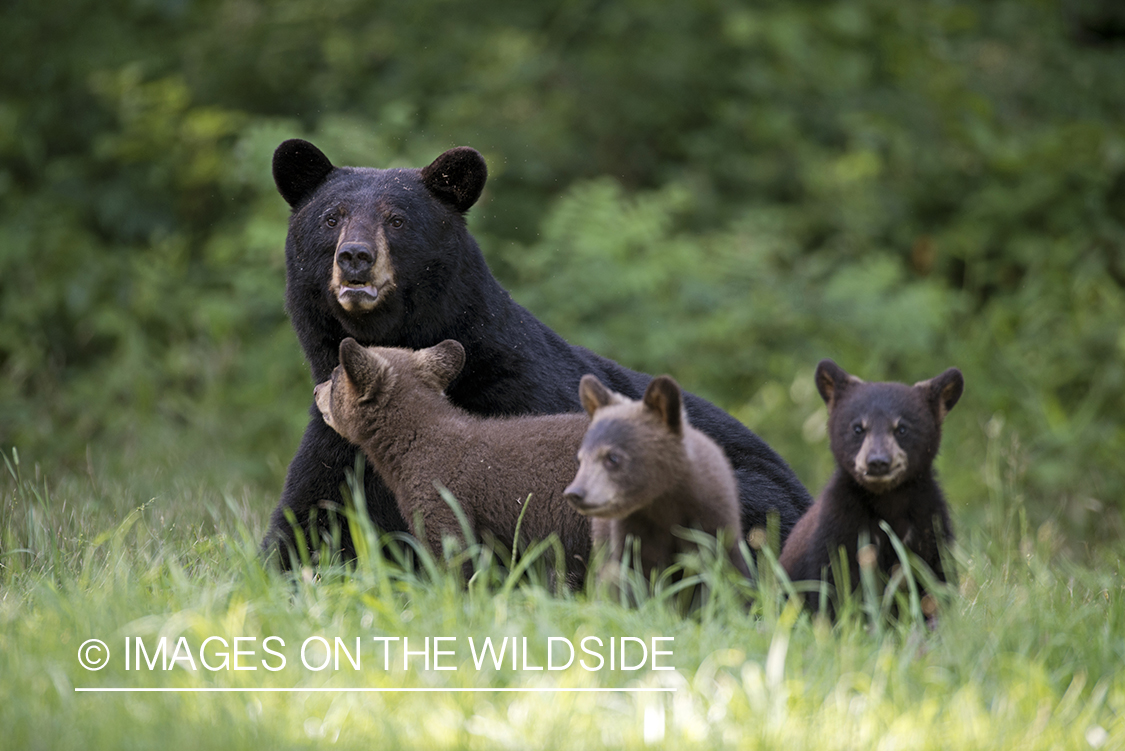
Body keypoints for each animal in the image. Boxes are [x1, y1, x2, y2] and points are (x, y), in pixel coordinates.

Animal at [263, 139, 810, 562]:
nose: (355, 257)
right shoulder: (338, 451)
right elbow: (304, 528)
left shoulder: (523, 402)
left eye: (397, 220)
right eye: (331, 217)